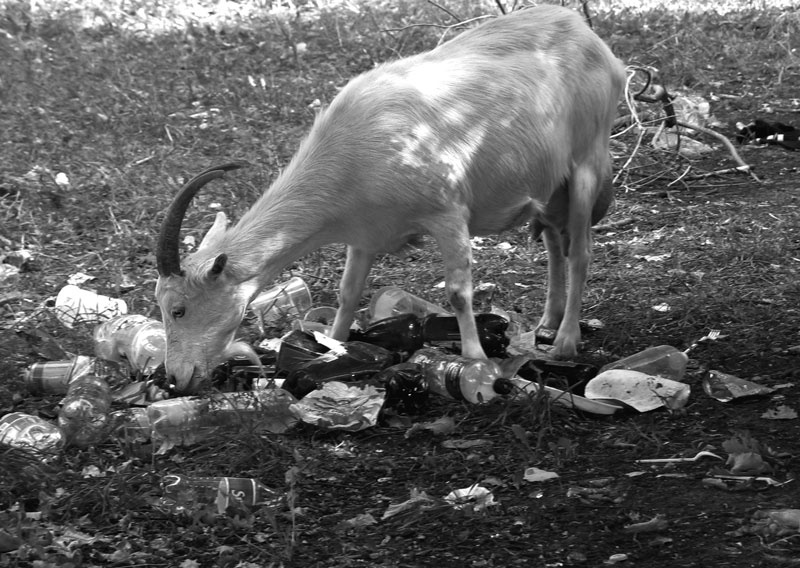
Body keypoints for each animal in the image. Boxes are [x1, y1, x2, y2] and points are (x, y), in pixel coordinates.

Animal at [155, 5, 626, 394]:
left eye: (178, 310)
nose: (177, 377)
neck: (354, 149)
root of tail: (594, 42)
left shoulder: (447, 211)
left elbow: (458, 292)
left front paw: (475, 362)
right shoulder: (363, 233)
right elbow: (348, 292)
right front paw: (332, 348)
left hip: (586, 161)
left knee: (580, 251)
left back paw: (565, 342)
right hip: (550, 184)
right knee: (554, 242)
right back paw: (547, 322)